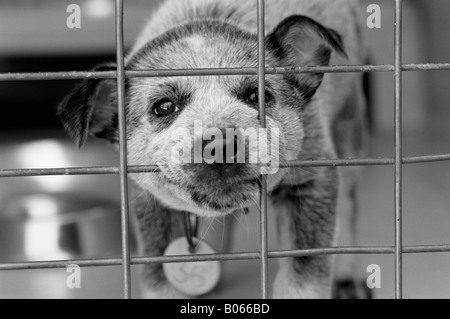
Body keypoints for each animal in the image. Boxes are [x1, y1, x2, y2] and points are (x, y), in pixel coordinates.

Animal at [58, 0, 370, 300]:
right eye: (164, 107)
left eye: (258, 96)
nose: (221, 145)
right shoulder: (153, 207)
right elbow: (160, 281)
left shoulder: (310, 184)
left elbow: (302, 277)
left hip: (347, 126)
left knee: (349, 207)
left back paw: (347, 279)